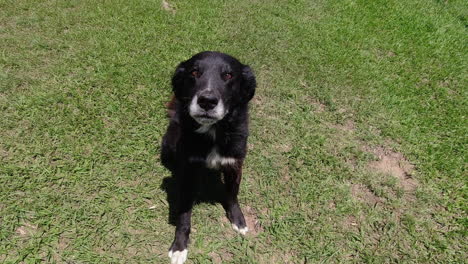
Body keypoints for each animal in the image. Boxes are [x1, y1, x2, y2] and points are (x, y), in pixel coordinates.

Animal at [161, 51, 256, 264]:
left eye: (228, 75)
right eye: (194, 72)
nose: (207, 101)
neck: (213, 131)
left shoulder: (234, 165)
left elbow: (232, 194)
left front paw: (238, 219)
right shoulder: (189, 171)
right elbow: (184, 216)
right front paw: (179, 246)